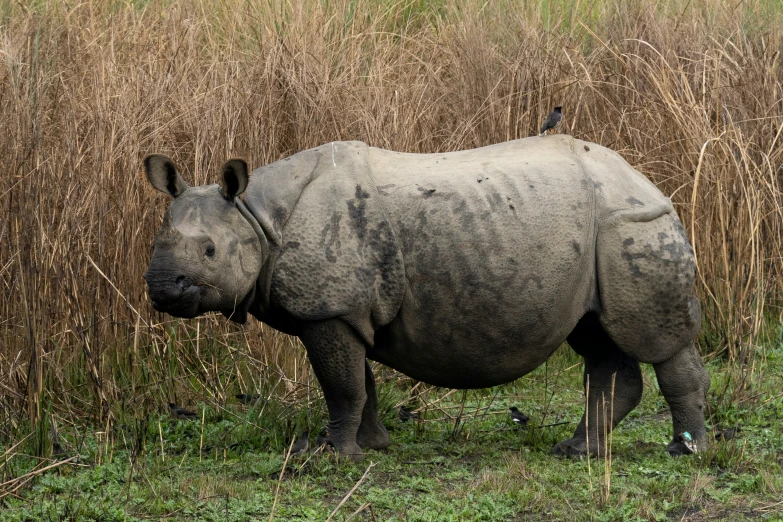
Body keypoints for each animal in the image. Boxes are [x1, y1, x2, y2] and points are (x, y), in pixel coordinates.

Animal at [141, 136, 712, 458]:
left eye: (211, 251)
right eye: (156, 242)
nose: (161, 287)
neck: (256, 216)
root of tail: (646, 180)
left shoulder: (328, 309)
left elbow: (341, 386)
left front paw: (329, 456)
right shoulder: (346, 310)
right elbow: (360, 383)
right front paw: (370, 447)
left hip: (631, 223)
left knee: (656, 342)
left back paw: (685, 452)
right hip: (597, 232)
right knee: (595, 335)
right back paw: (577, 451)